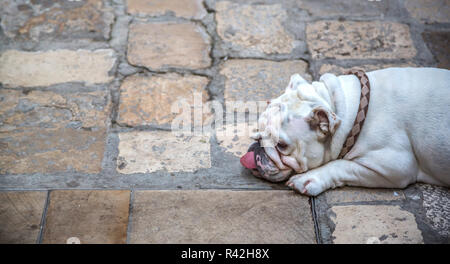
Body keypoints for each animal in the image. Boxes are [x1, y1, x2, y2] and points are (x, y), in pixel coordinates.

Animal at [243, 68, 450, 196]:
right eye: (258, 130)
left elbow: (342, 165)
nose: (256, 148)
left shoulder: (395, 166)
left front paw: (309, 179)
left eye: (281, 145)